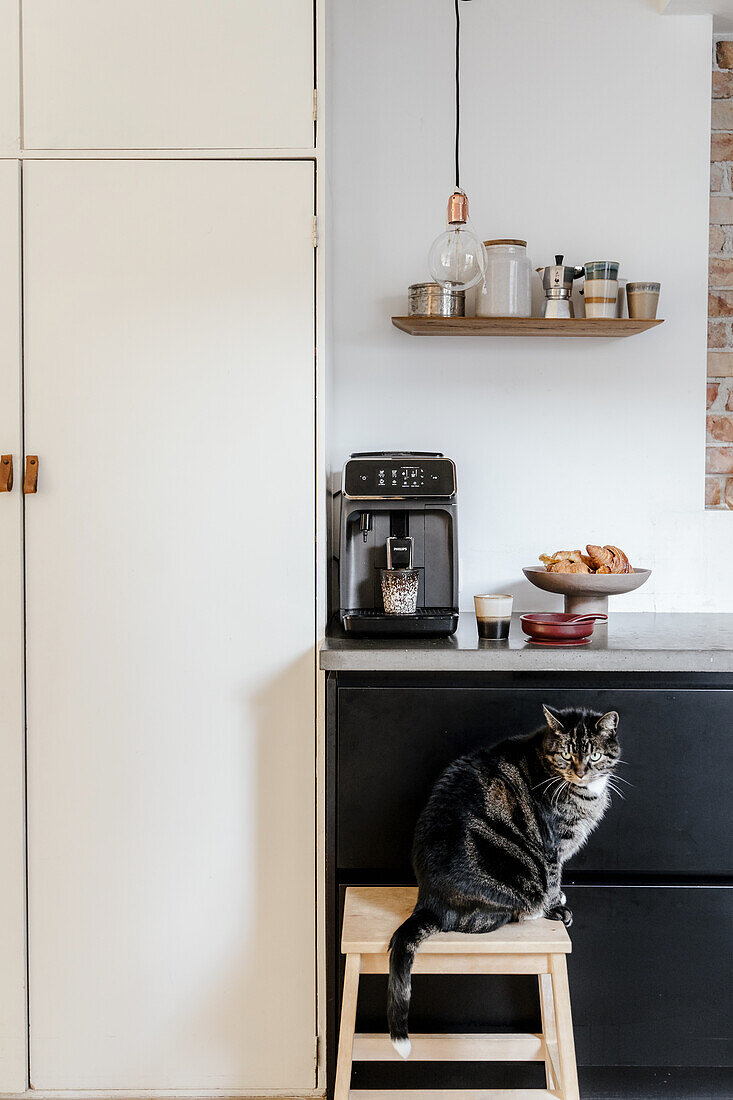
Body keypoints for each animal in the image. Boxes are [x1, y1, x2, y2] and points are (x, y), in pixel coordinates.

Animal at [385, 704, 620, 1056]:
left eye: (593, 756)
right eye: (567, 755)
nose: (580, 773)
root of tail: (426, 901)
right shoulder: (552, 846)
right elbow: (553, 879)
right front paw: (556, 907)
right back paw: (529, 911)